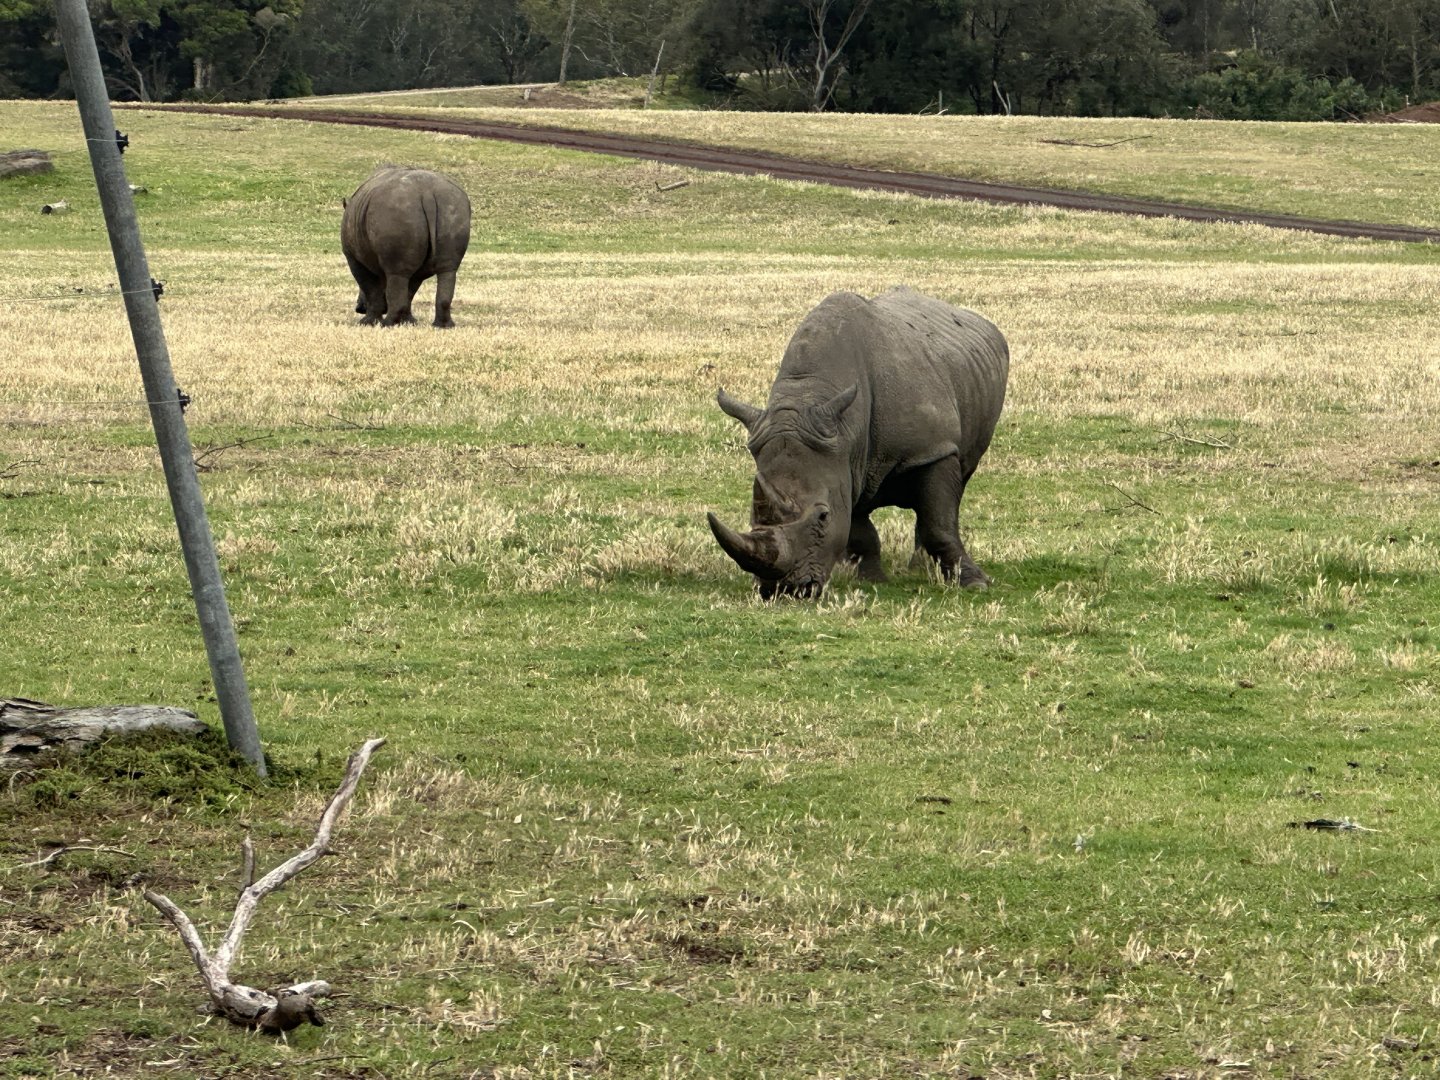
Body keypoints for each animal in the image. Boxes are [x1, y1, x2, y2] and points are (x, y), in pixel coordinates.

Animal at [341, 166, 471, 328]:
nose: (359, 308)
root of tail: (427, 193)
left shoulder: (352, 257)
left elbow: (370, 287)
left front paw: (368, 323)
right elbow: (410, 290)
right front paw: (409, 322)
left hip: (395, 213)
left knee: (397, 274)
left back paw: (387, 324)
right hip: (452, 209)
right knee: (447, 270)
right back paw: (443, 326)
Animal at [707, 287, 1009, 598]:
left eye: (823, 517)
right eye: (752, 518)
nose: (784, 590)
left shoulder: (931, 449)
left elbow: (939, 523)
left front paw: (975, 583)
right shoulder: (844, 462)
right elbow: (860, 529)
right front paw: (870, 579)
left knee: (955, 485)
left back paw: (920, 567)